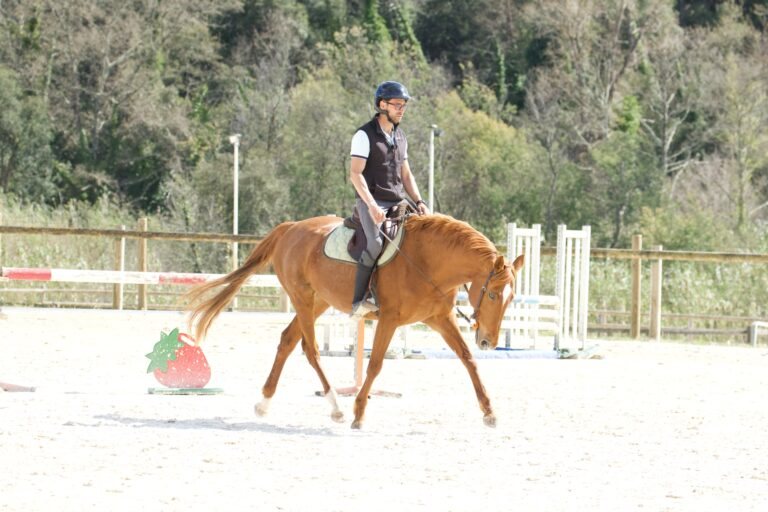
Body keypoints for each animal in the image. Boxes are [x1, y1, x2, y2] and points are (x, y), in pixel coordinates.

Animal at [186, 213, 524, 429]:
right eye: (493, 295)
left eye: (509, 299)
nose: (488, 341)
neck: (427, 261)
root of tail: (291, 228)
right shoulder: (389, 319)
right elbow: (374, 364)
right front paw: (358, 413)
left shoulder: (440, 318)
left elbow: (467, 359)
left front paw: (489, 411)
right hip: (302, 298)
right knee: (311, 350)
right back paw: (335, 406)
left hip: (319, 300)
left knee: (288, 340)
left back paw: (264, 403)